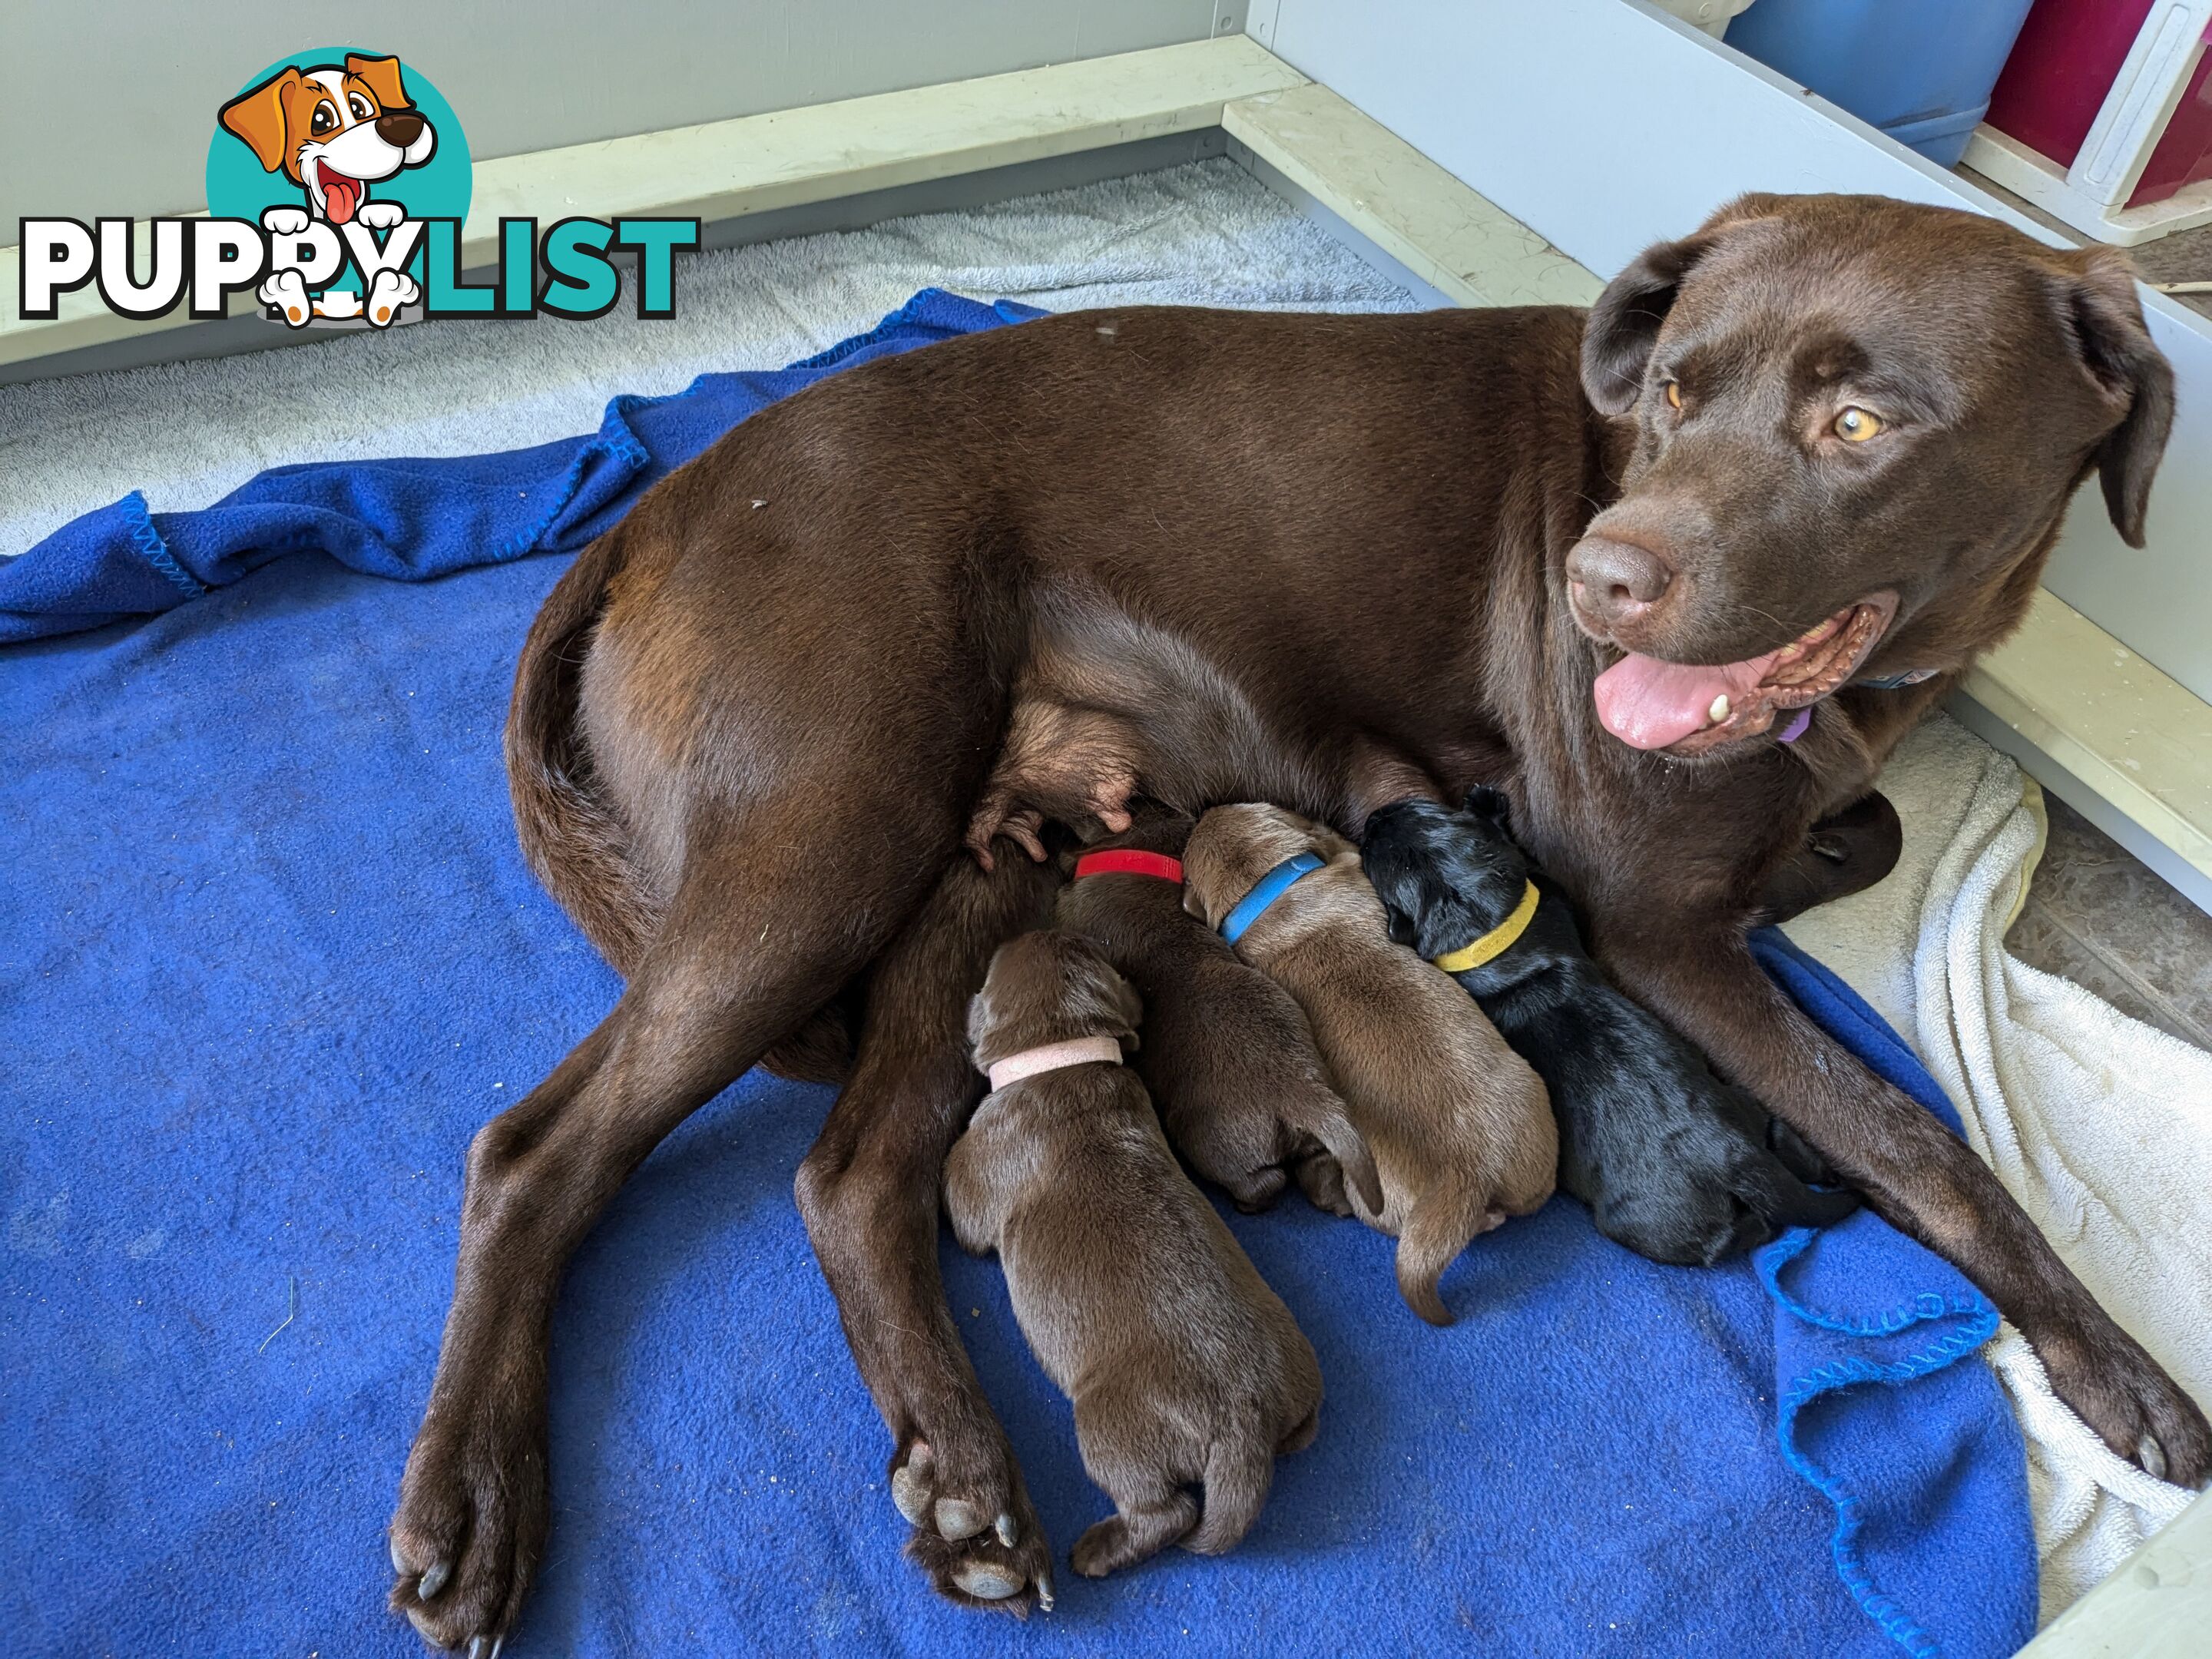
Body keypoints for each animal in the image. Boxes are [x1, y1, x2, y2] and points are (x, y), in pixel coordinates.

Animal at [942, 929, 1318, 1592]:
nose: (1032, 928)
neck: (1064, 1054)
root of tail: (1245, 1425)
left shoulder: (978, 1176)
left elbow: (958, 1204)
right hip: (1298, 1378)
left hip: (1108, 1426)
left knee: (1164, 1513)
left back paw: (1095, 1551)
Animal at [1052, 813, 1380, 1220]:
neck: (1138, 855)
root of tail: (1303, 1094)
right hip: (1311, 1137)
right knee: (1318, 1166)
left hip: (1211, 1141)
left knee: (1264, 1181)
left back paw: (1247, 1203)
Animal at [1353, 800, 1858, 1265]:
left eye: (1375, 850)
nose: (1376, 816)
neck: (1481, 928)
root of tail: (1733, 1157)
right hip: (1743, 1118)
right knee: (1777, 1146)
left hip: (1652, 1218)